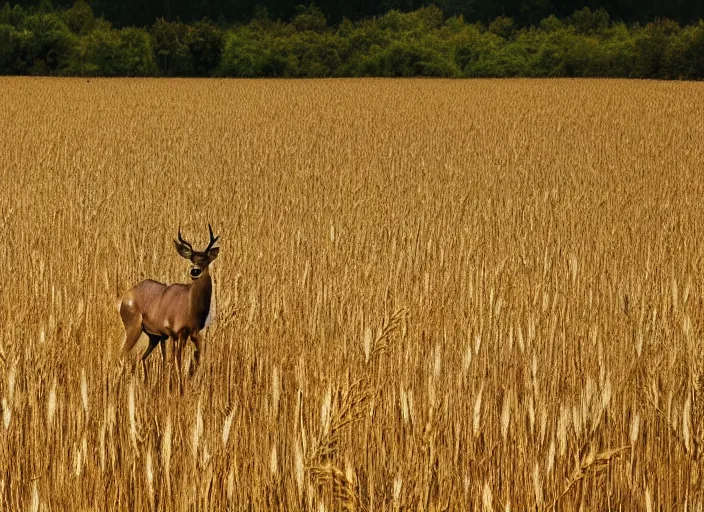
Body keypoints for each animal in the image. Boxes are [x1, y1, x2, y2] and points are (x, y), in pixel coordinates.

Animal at [119, 224, 220, 380]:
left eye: (205, 260)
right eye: (191, 259)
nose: (195, 271)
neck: (192, 308)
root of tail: (124, 298)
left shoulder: (193, 333)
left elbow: (195, 359)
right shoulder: (175, 332)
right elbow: (176, 361)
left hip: (153, 336)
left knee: (141, 357)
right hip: (133, 326)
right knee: (123, 355)